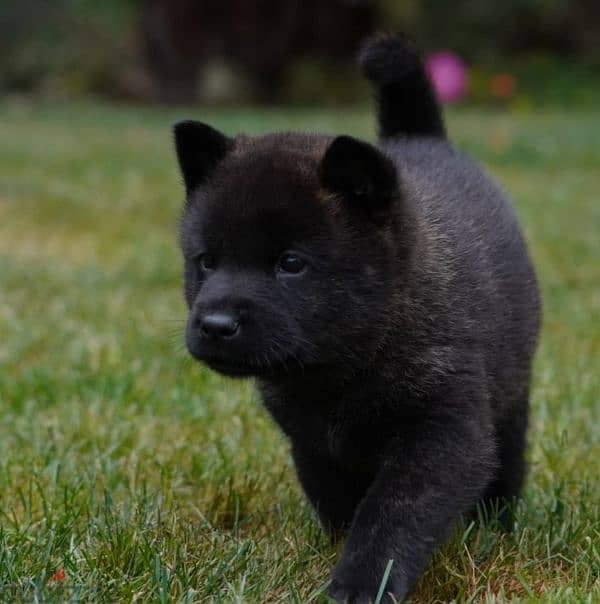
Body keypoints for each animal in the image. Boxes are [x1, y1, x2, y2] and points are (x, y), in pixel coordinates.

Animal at [171, 34, 540, 604]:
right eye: (206, 262)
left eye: (291, 263)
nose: (214, 324)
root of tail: (423, 139)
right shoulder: (310, 441)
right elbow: (338, 500)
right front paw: (332, 552)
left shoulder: (441, 433)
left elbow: (390, 516)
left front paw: (361, 583)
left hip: (513, 392)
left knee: (509, 461)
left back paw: (495, 526)